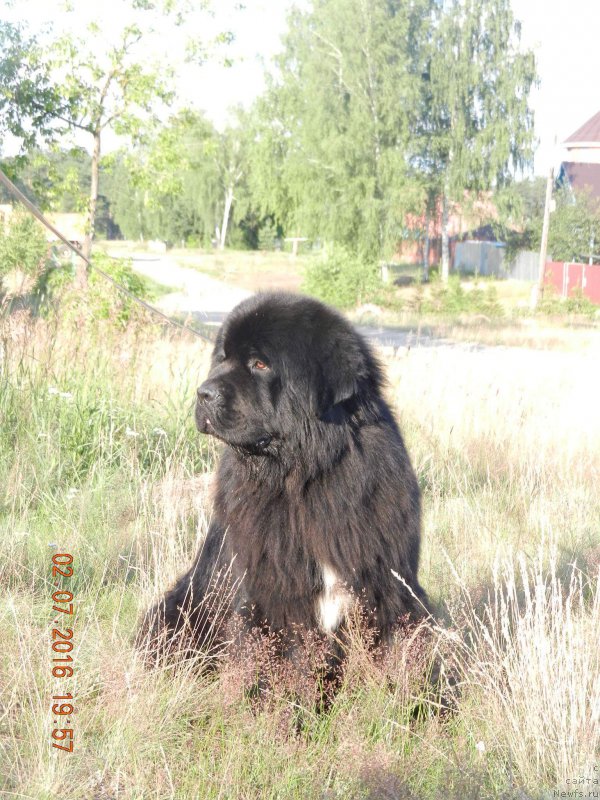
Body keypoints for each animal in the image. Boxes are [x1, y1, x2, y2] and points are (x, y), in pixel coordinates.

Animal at [142, 294, 426, 668]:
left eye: (260, 364)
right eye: (222, 359)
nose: (202, 393)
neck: (304, 474)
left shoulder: (386, 586)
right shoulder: (267, 596)